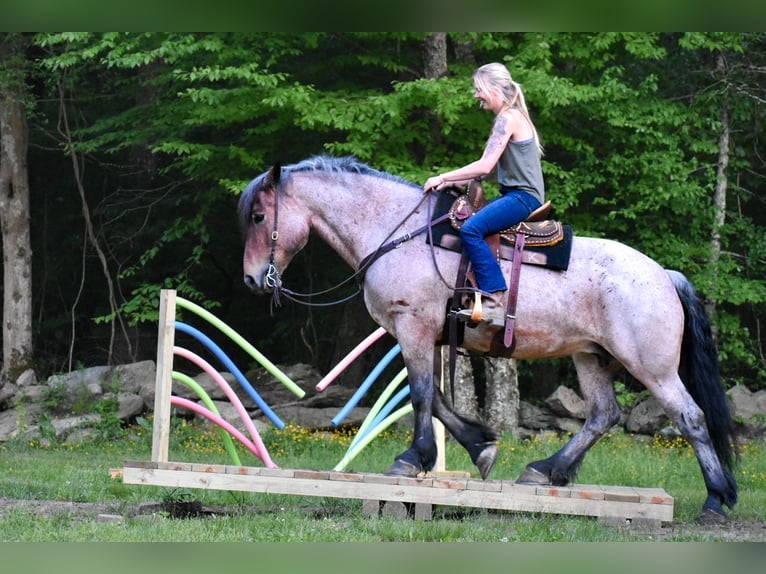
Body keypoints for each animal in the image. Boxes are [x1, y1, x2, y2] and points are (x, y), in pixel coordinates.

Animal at [238, 154, 736, 520]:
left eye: (259, 216)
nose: (250, 280)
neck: (395, 232)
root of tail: (665, 275)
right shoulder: (426, 336)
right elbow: (437, 399)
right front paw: (480, 446)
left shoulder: (413, 327)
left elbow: (421, 394)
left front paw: (412, 458)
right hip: (592, 357)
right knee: (602, 415)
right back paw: (546, 470)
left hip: (651, 366)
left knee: (690, 417)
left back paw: (716, 499)